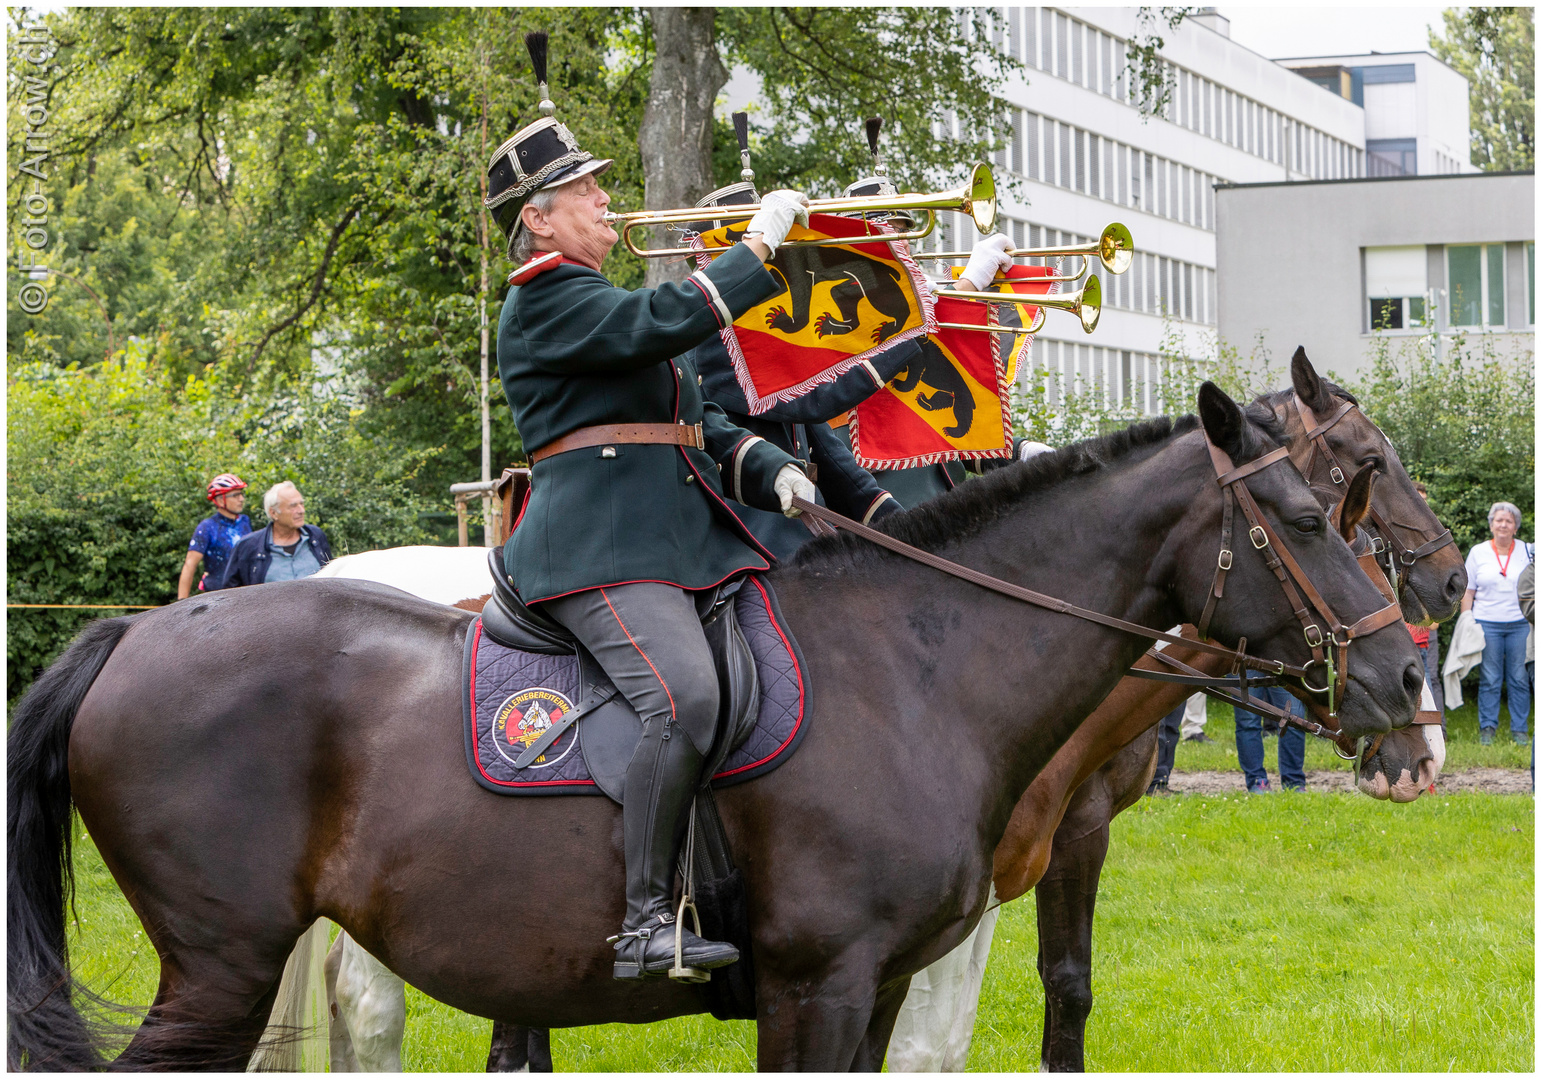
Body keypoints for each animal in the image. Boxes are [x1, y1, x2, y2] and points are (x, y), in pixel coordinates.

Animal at [6, 384, 1418, 1067]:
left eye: (1351, 502)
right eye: (1313, 517)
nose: (1409, 687)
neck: (920, 664)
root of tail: (132, 631)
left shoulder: (881, 978)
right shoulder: (821, 985)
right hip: (222, 969)